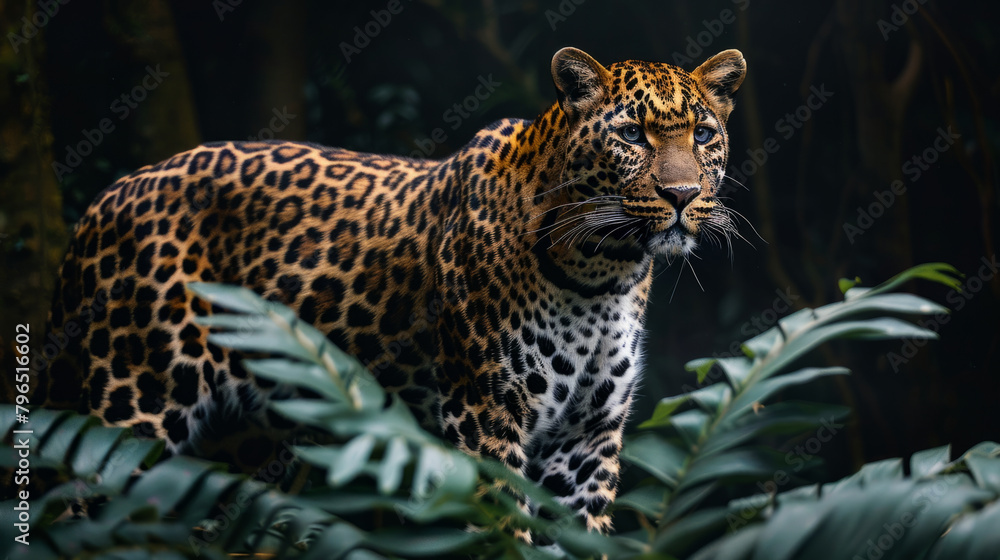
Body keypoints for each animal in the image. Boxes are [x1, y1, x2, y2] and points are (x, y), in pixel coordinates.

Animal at [36, 47, 746, 532]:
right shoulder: (484, 416)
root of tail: (100, 203)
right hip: (136, 404)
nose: (681, 196)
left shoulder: (586, 441)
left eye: (703, 135)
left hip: (238, 440)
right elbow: (504, 528)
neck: (602, 273)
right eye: (631, 136)